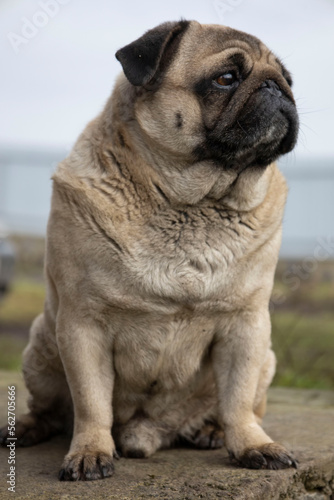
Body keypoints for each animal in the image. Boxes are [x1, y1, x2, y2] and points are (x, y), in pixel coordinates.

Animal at [0, 20, 298, 480]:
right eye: (226, 78)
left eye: (288, 79)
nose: (276, 87)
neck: (191, 206)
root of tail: (152, 433)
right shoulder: (83, 324)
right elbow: (91, 403)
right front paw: (90, 451)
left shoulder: (246, 325)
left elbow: (238, 401)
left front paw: (251, 445)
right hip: (41, 350)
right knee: (51, 410)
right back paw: (26, 429)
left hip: (265, 358)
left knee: (244, 404)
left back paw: (212, 430)